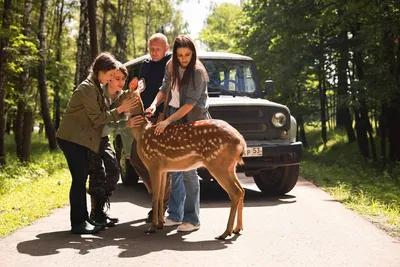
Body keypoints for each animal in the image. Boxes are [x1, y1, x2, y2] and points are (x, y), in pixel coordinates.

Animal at [127, 86, 247, 241]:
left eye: (122, 94)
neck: (142, 133)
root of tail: (241, 142)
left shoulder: (153, 163)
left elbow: (155, 194)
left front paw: (152, 227)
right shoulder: (163, 168)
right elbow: (161, 194)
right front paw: (160, 224)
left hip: (217, 164)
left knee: (235, 192)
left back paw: (225, 233)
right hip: (230, 166)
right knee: (242, 190)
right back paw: (238, 228)